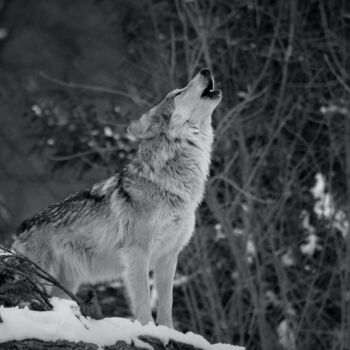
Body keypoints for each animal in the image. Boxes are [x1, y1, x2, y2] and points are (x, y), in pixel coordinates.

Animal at [13, 69, 223, 328]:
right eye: (178, 92)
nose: (205, 70)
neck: (169, 184)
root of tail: (22, 227)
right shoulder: (137, 252)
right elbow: (143, 301)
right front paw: (149, 329)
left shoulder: (168, 256)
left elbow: (167, 304)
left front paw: (168, 331)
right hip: (44, 279)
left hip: (66, 285)